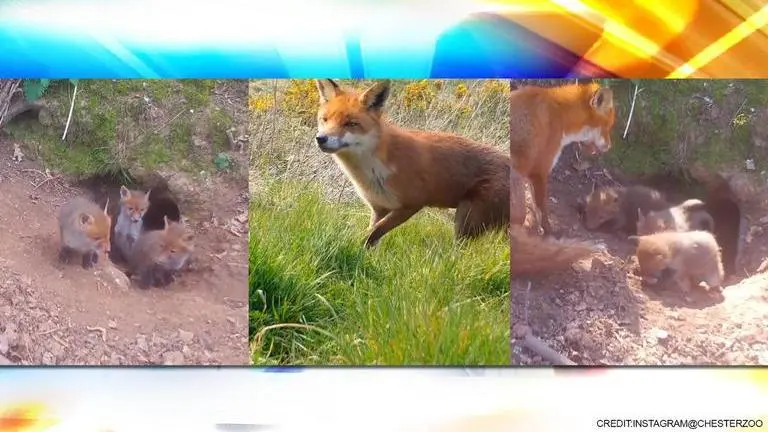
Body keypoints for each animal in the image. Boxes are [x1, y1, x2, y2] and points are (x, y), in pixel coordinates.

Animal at [315, 79, 510, 247]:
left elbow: (370, 235)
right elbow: (372, 239)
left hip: (465, 222)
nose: (320, 138)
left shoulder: (411, 204)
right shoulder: (379, 207)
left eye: (351, 124)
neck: (374, 168)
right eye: (325, 119)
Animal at [509, 81, 616, 235]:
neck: (561, 115)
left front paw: (537, 231)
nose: (609, 146)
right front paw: (548, 232)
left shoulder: (533, 174)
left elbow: (536, 211)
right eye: (607, 126)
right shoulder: (539, 170)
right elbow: (542, 209)